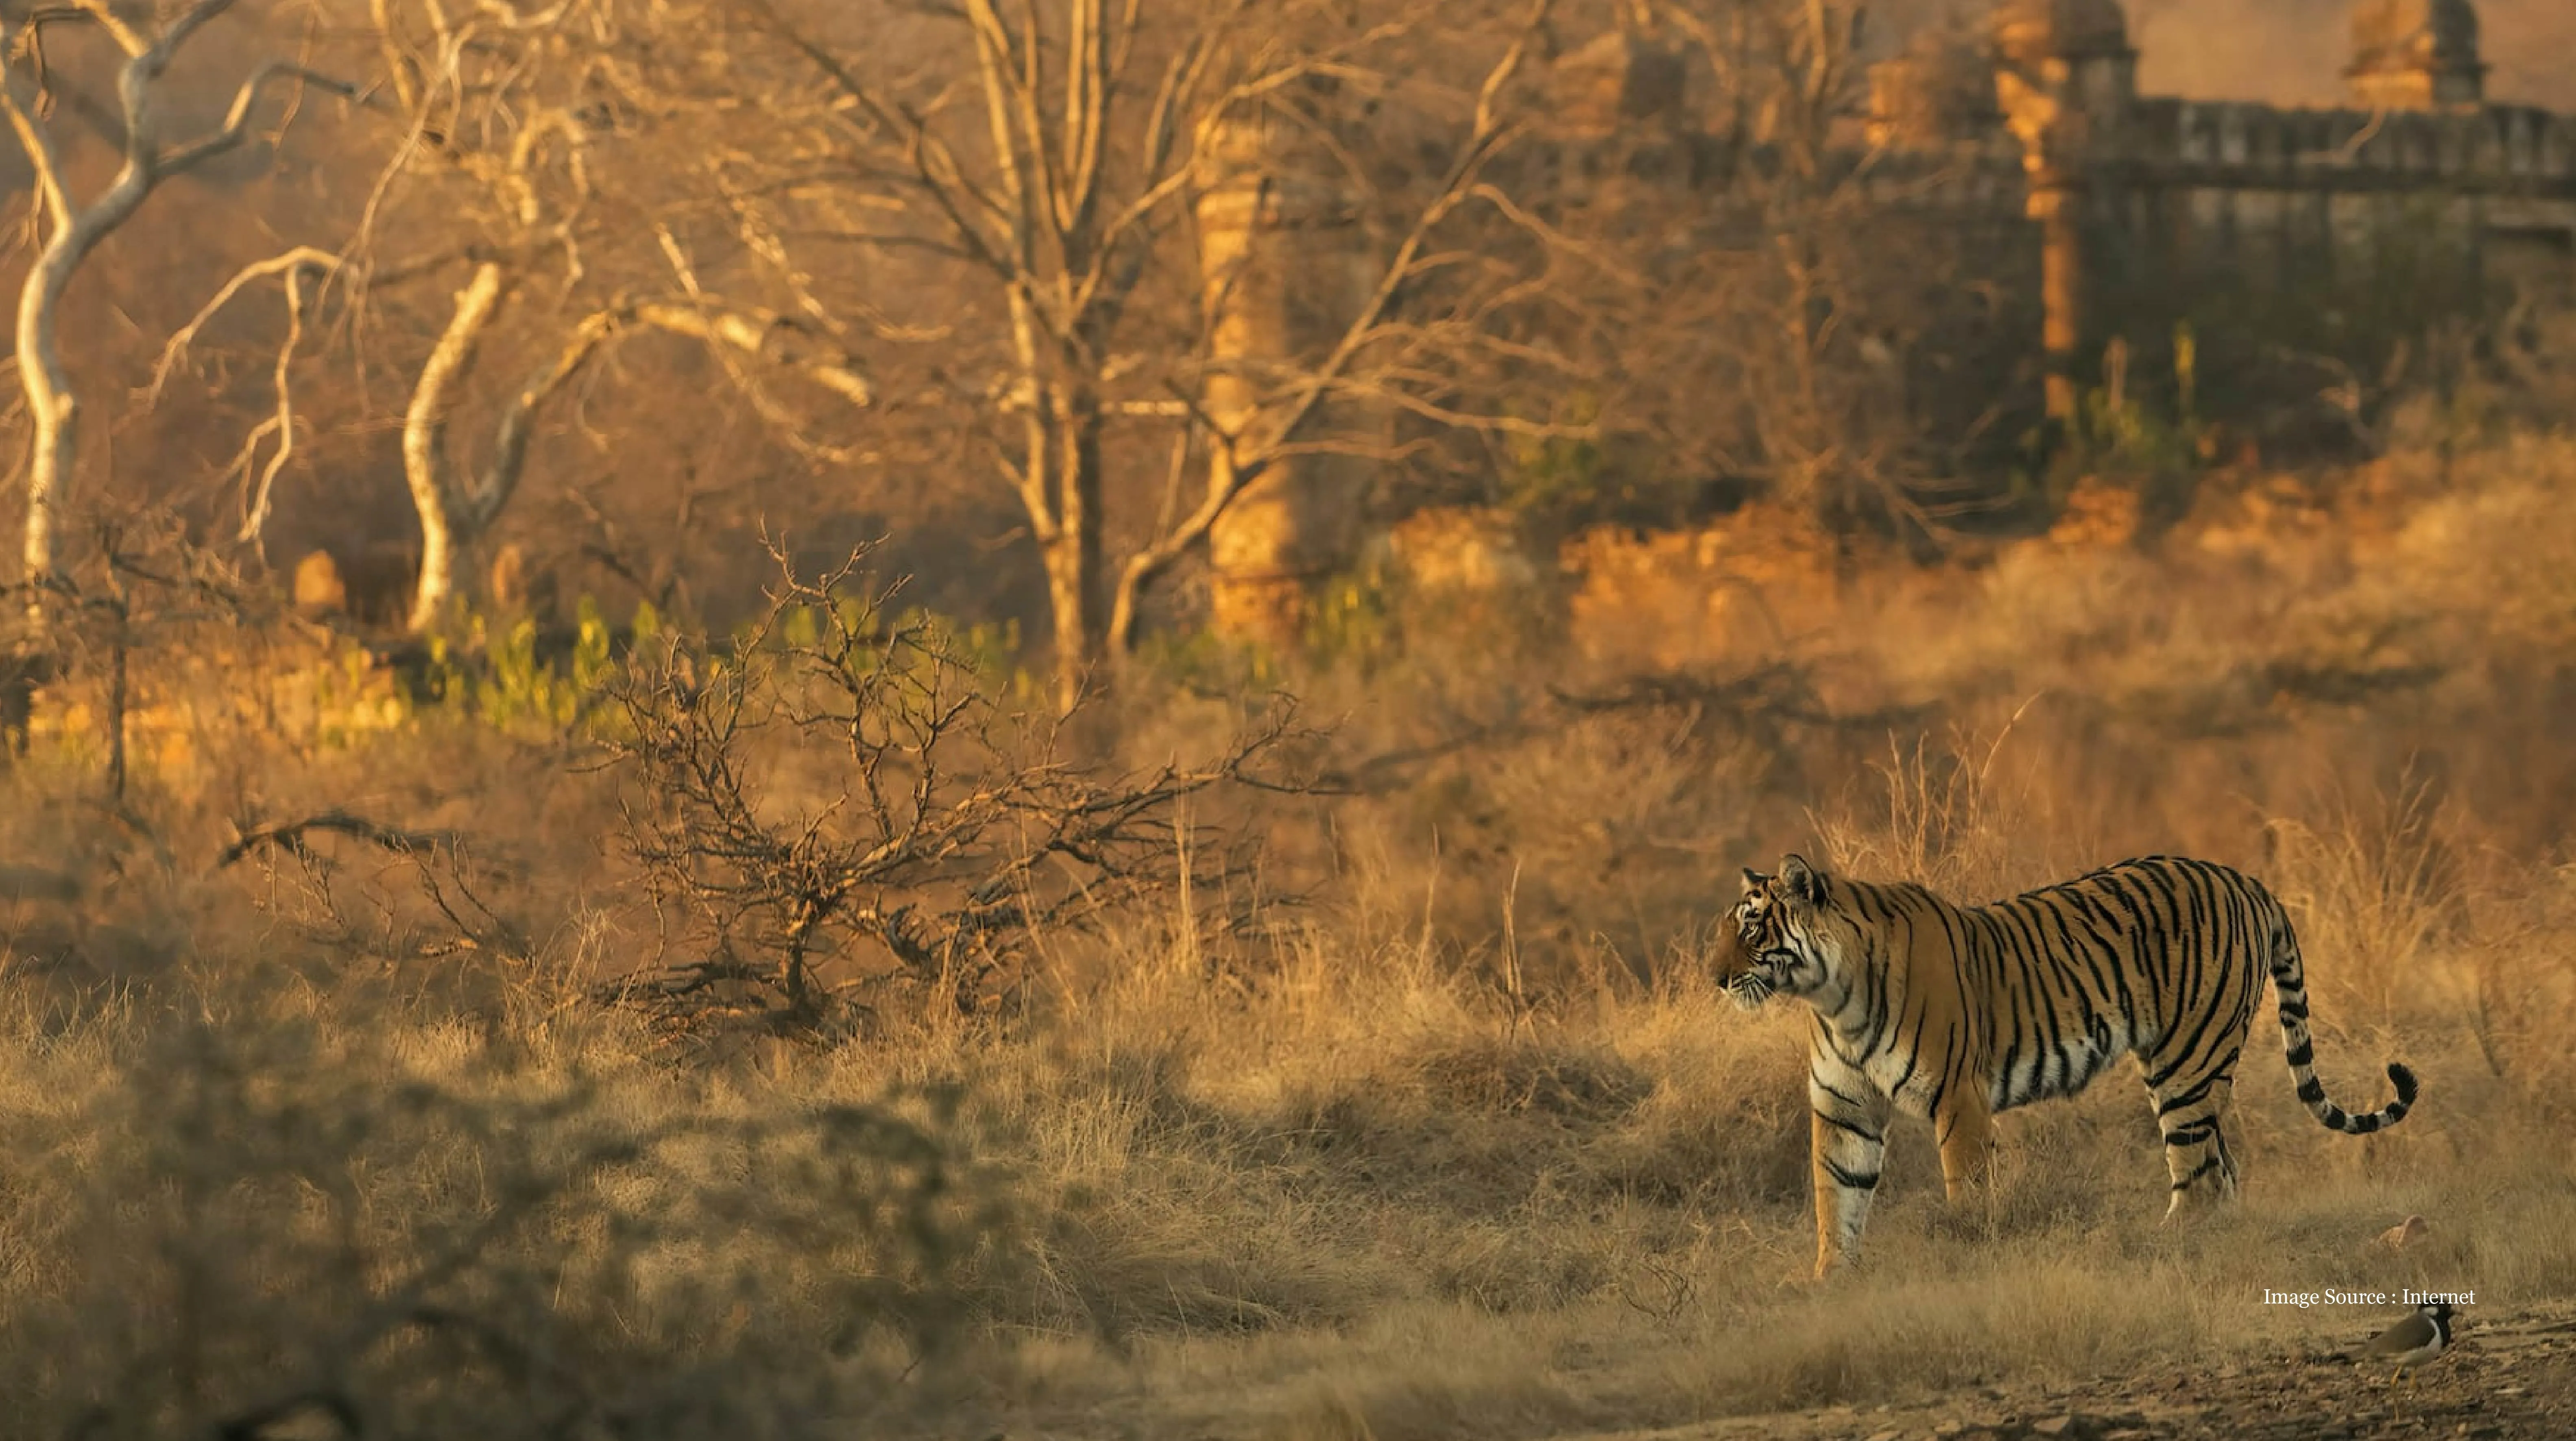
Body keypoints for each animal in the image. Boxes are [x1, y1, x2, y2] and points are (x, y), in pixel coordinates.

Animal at [1713, 852, 2419, 1280]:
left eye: (1750, 930)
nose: (1714, 978)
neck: (1831, 995)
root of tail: (2244, 879)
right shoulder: (1844, 1106)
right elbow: (1837, 1196)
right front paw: (1830, 1281)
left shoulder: (1957, 1098)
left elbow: (1965, 1191)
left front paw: (1966, 1259)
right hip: (2186, 1066)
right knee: (2222, 1173)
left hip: (2187, 1061)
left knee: (2197, 1177)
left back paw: (2161, 1247)